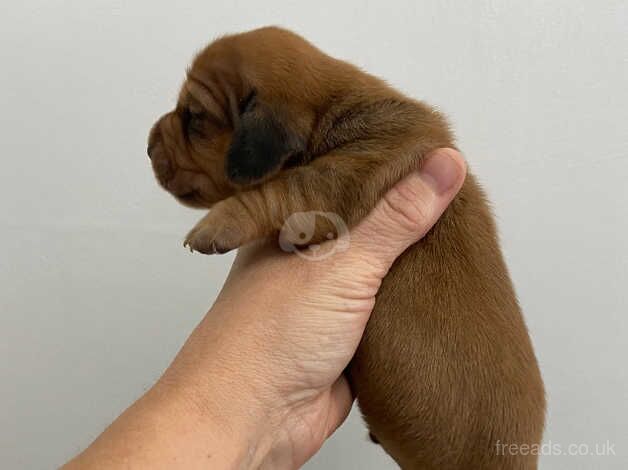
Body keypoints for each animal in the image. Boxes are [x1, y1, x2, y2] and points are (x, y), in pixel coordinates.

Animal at [147, 26, 544, 470]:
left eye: (194, 117)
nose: (147, 145)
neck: (331, 108)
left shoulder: (349, 171)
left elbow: (284, 189)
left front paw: (217, 224)